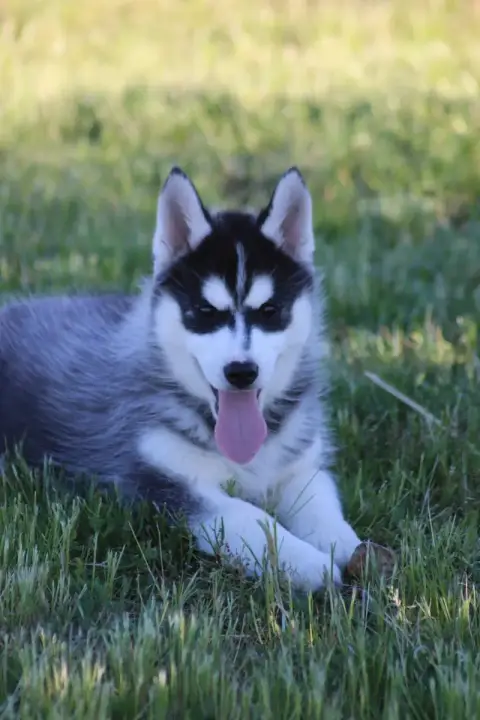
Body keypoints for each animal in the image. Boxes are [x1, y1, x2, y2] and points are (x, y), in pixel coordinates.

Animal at [0, 166, 362, 591]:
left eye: (270, 310)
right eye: (205, 311)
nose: (241, 372)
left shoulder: (300, 468)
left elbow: (323, 507)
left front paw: (349, 548)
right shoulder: (163, 482)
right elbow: (247, 517)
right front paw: (307, 562)